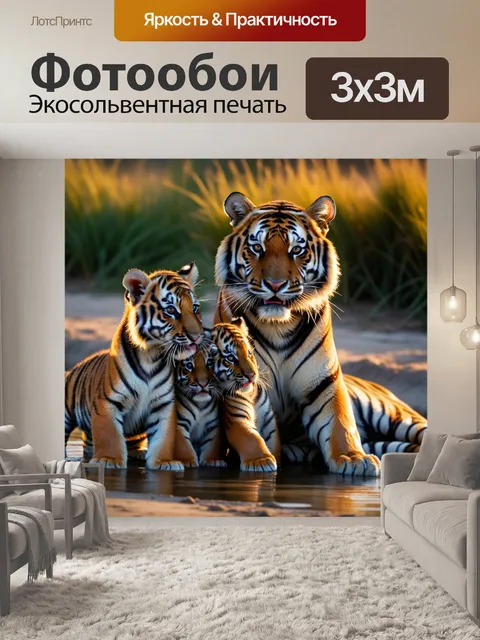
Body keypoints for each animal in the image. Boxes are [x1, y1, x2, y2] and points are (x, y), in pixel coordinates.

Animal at [64, 263, 204, 470]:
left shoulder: (163, 405)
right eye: (171, 310)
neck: (152, 355)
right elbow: (110, 436)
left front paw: (164, 462)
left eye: (195, 308)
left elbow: (163, 438)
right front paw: (109, 460)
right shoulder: (108, 402)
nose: (197, 336)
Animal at [210, 318, 280, 472]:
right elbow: (252, 438)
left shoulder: (268, 420)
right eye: (231, 358)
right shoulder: (236, 419)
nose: (251, 375)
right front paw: (262, 461)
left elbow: (274, 442)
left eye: (249, 353)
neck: (251, 395)